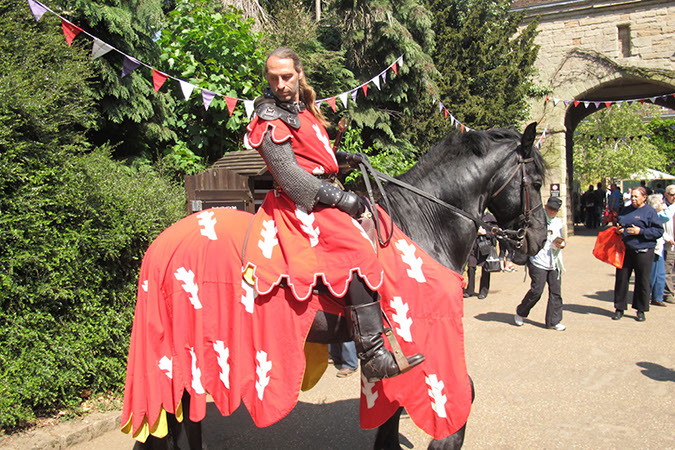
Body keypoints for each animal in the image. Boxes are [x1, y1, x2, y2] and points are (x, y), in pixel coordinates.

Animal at [132, 121, 548, 448]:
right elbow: (462, 393)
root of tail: (163, 243)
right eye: (538, 181)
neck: (424, 223)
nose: (540, 238)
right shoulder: (423, 334)